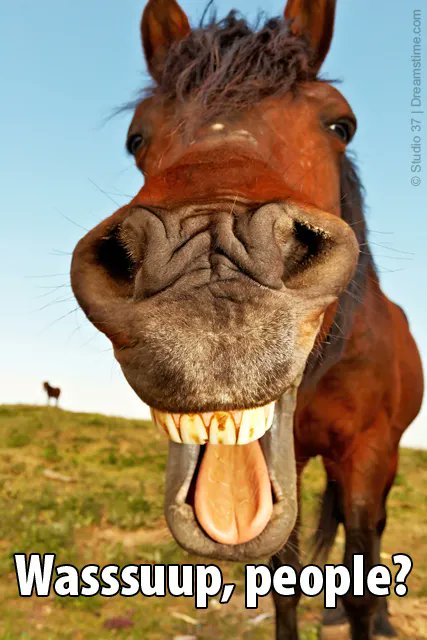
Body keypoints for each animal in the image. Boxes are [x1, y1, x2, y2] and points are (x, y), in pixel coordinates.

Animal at [70, 1, 424, 638]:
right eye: (136, 137)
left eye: (342, 125)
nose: (209, 278)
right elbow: (286, 582)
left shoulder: (369, 451)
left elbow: (365, 568)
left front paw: (369, 616)